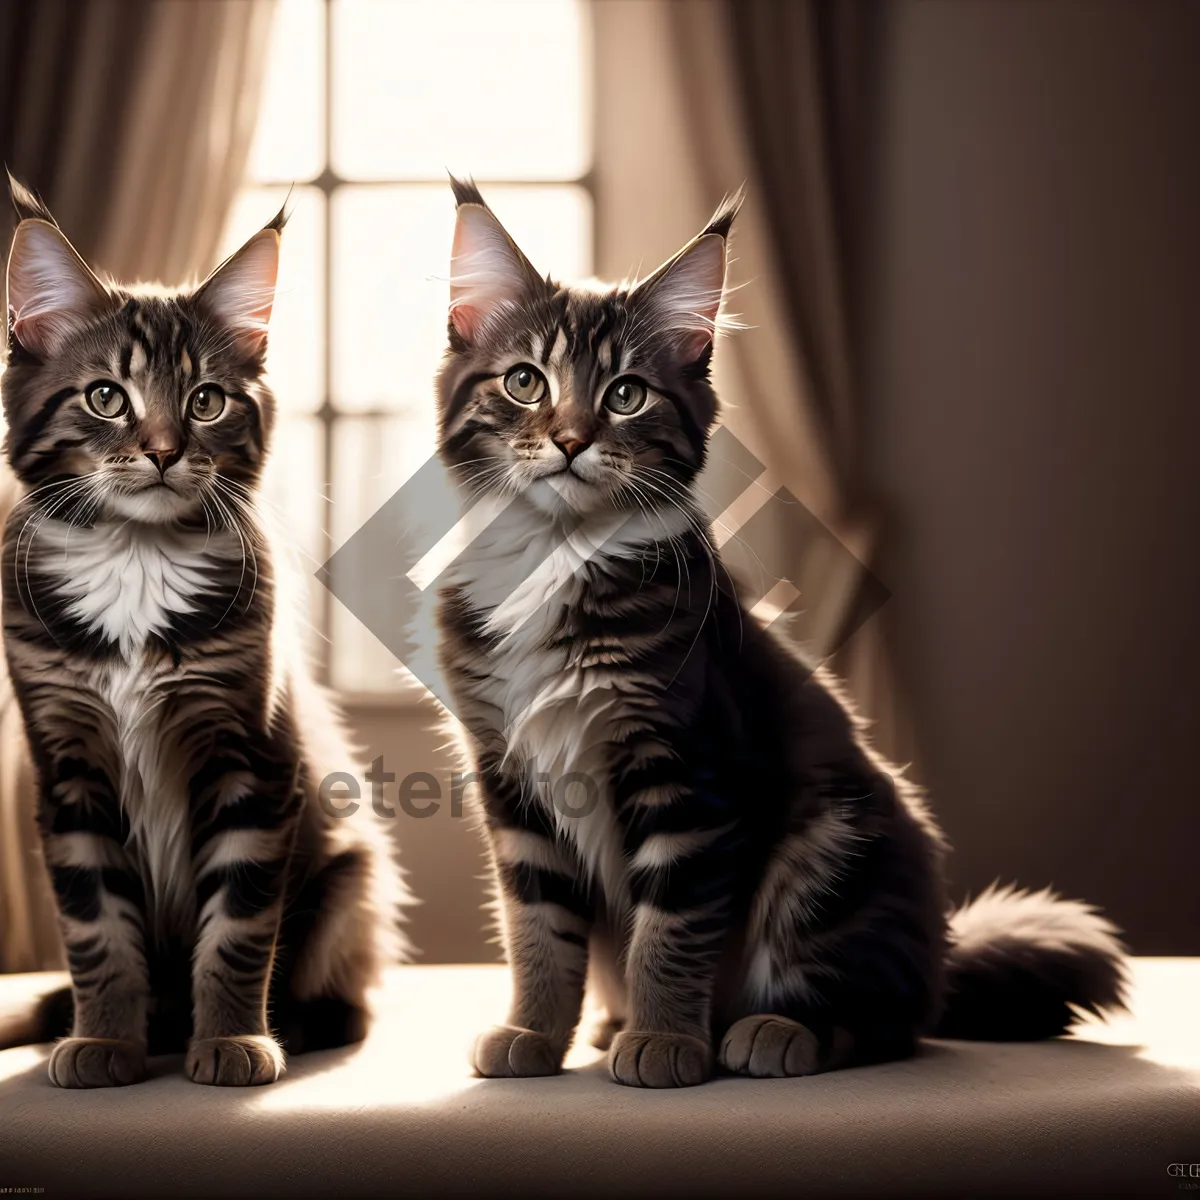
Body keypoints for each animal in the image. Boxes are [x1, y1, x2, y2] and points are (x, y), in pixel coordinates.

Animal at [0, 177, 405, 1089]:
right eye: (106, 398)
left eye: (205, 401)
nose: (161, 450)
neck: (134, 557)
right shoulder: (69, 768)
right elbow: (97, 935)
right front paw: (105, 1042)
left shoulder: (250, 761)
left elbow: (238, 930)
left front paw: (229, 1040)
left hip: (351, 877)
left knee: (349, 995)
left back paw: (286, 1022)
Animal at [434, 180, 1123, 1089]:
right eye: (523, 382)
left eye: (625, 395)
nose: (571, 440)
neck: (553, 561)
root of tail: (940, 960)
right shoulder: (511, 782)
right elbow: (537, 932)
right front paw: (533, 1034)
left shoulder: (689, 771)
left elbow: (669, 930)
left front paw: (666, 1040)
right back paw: (612, 1027)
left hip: (833, 845)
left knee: (884, 1022)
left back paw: (766, 1032)